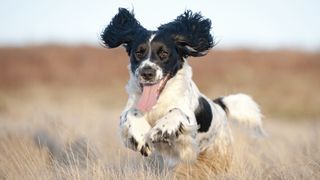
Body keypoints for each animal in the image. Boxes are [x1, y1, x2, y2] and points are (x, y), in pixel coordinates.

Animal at [101, 8, 266, 177]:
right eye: (139, 53)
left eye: (164, 53)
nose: (147, 72)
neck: (158, 101)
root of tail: (218, 105)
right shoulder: (130, 111)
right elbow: (131, 112)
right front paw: (141, 137)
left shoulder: (188, 126)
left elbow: (177, 111)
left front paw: (162, 129)